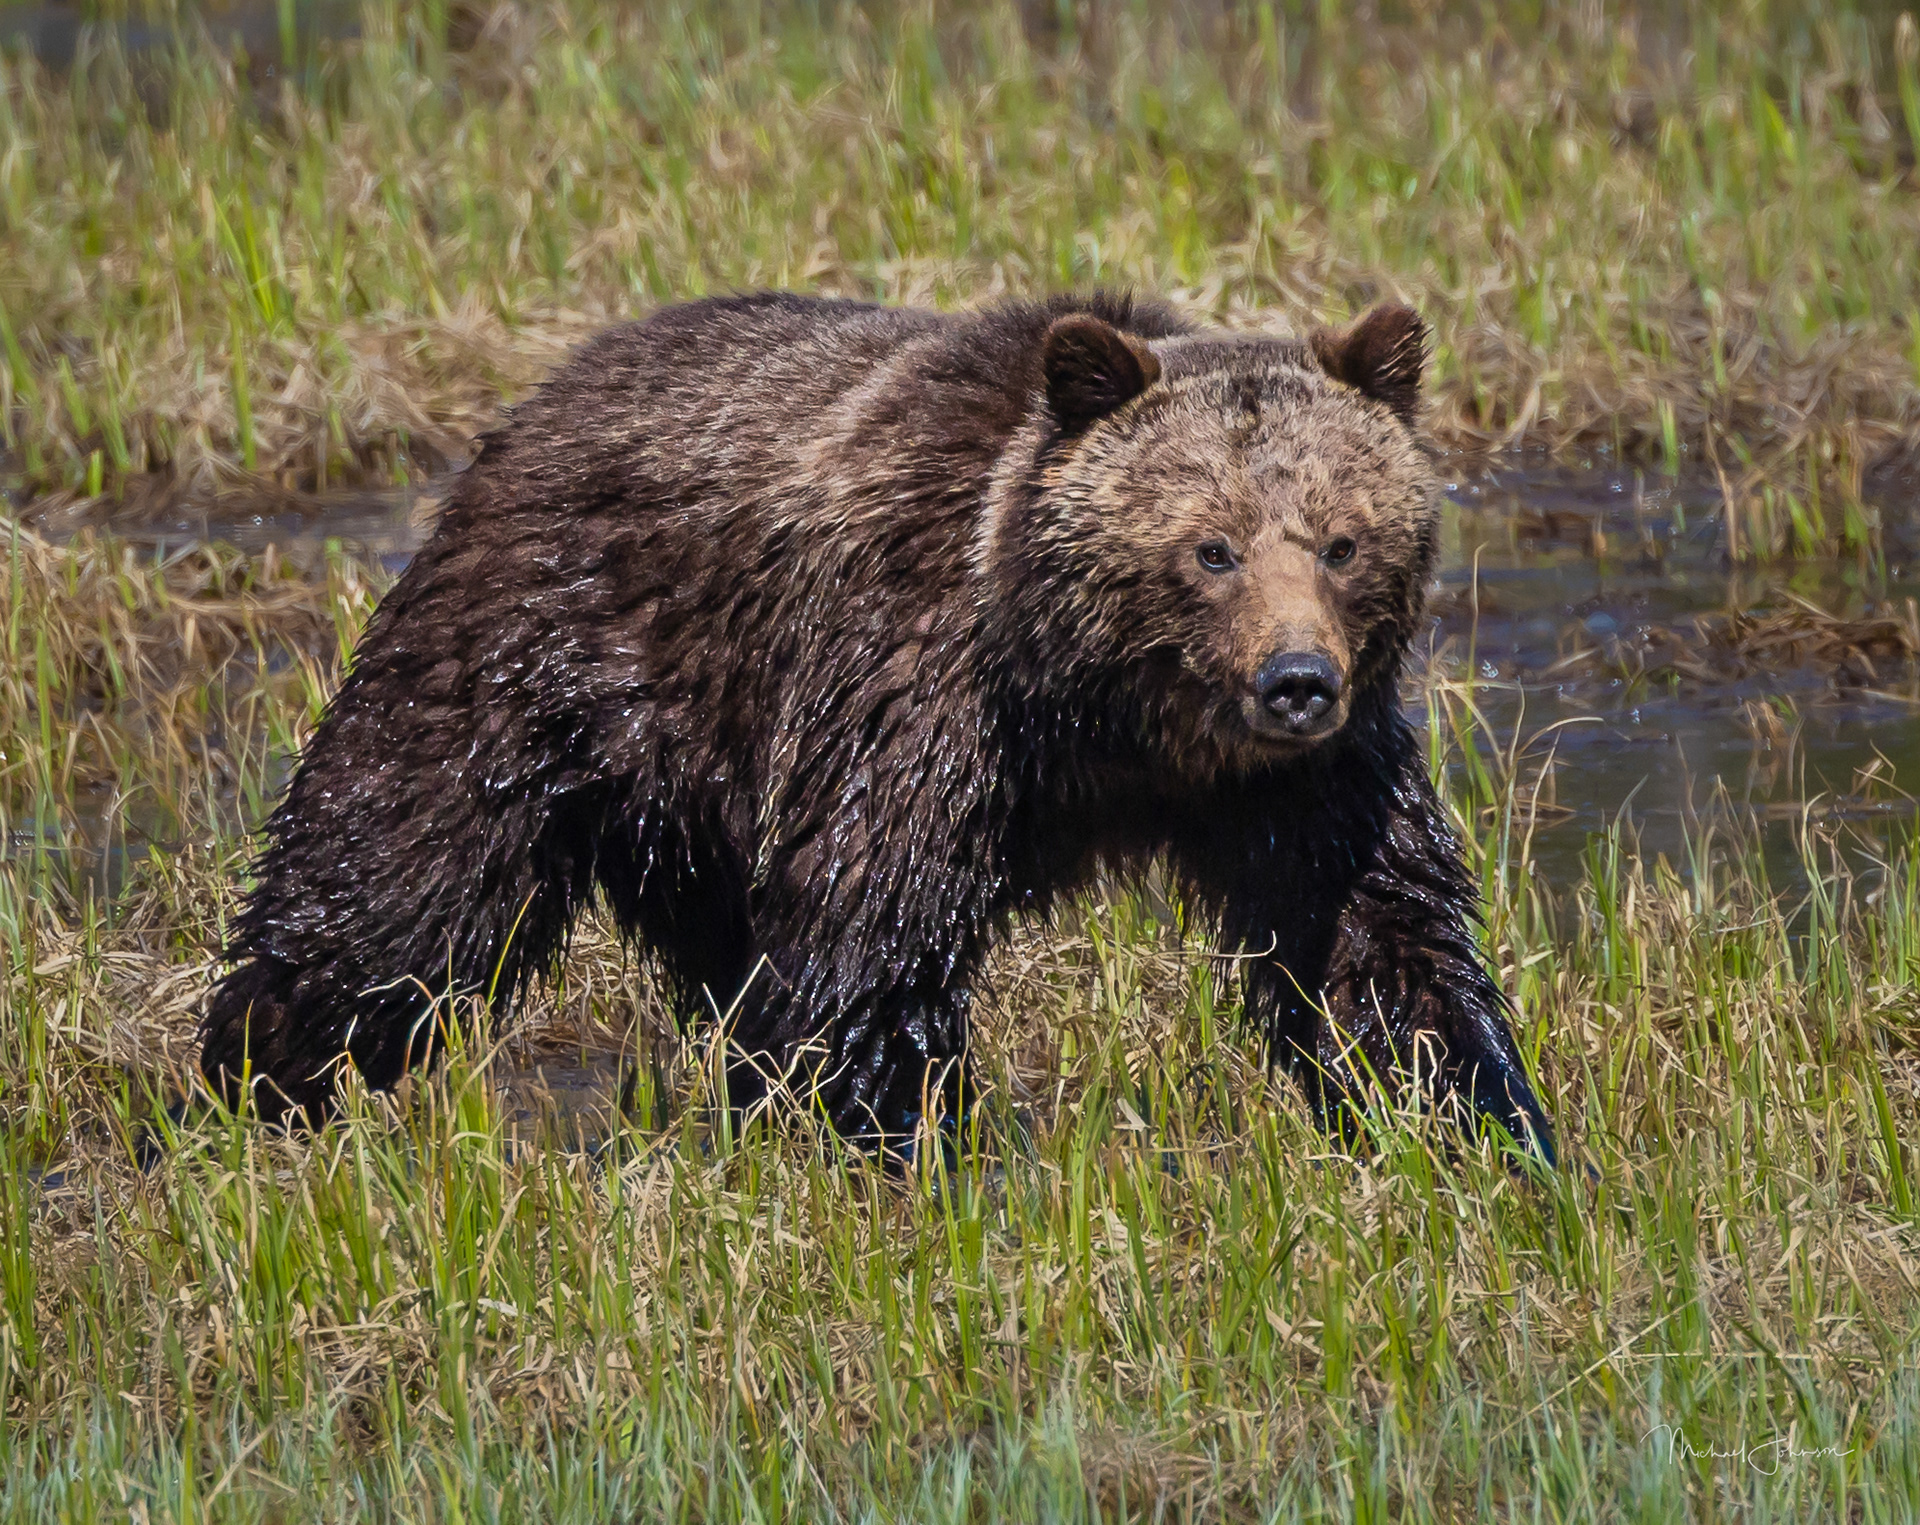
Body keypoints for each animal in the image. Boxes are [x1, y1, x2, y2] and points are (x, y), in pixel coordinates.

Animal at [200, 290, 1557, 1167]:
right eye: (1210, 547)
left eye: (1342, 541)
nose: (1296, 681)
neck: (1107, 716)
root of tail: (545, 392)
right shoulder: (916, 695)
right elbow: (869, 944)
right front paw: (901, 1145)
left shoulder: (1298, 787)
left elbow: (1375, 934)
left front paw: (1482, 1121)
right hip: (543, 657)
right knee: (396, 881)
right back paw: (251, 1077)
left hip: (698, 794)